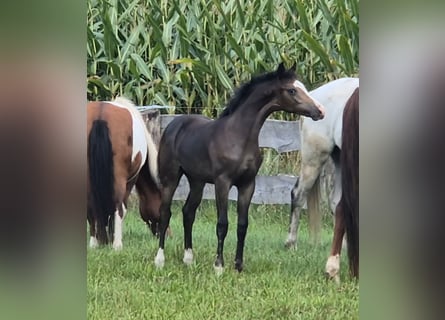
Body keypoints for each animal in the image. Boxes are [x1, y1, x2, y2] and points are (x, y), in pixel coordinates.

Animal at [86, 96, 161, 249]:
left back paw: (94, 243)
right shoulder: (131, 178)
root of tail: (100, 116)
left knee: (91, 207)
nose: (167, 234)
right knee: (118, 206)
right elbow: (123, 208)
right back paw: (117, 245)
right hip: (119, 178)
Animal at [154, 63, 324, 274]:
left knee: (188, 213)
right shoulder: (222, 183)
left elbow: (242, 225)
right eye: (292, 90)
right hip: (170, 178)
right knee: (165, 213)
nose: (320, 111)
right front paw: (219, 266)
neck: (238, 136)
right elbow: (222, 224)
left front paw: (238, 265)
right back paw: (159, 260)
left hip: (197, 181)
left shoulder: (247, 184)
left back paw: (188, 259)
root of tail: (173, 125)